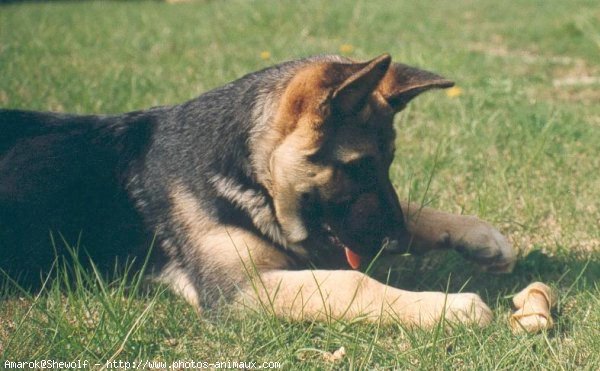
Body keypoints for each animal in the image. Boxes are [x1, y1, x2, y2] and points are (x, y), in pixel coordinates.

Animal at [1, 54, 516, 328]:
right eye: (358, 168)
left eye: (387, 164)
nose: (394, 240)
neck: (247, 176)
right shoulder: (240, 290)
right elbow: (352, 282)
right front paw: (446, 306)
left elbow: (413, 209)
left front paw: (481, 237)